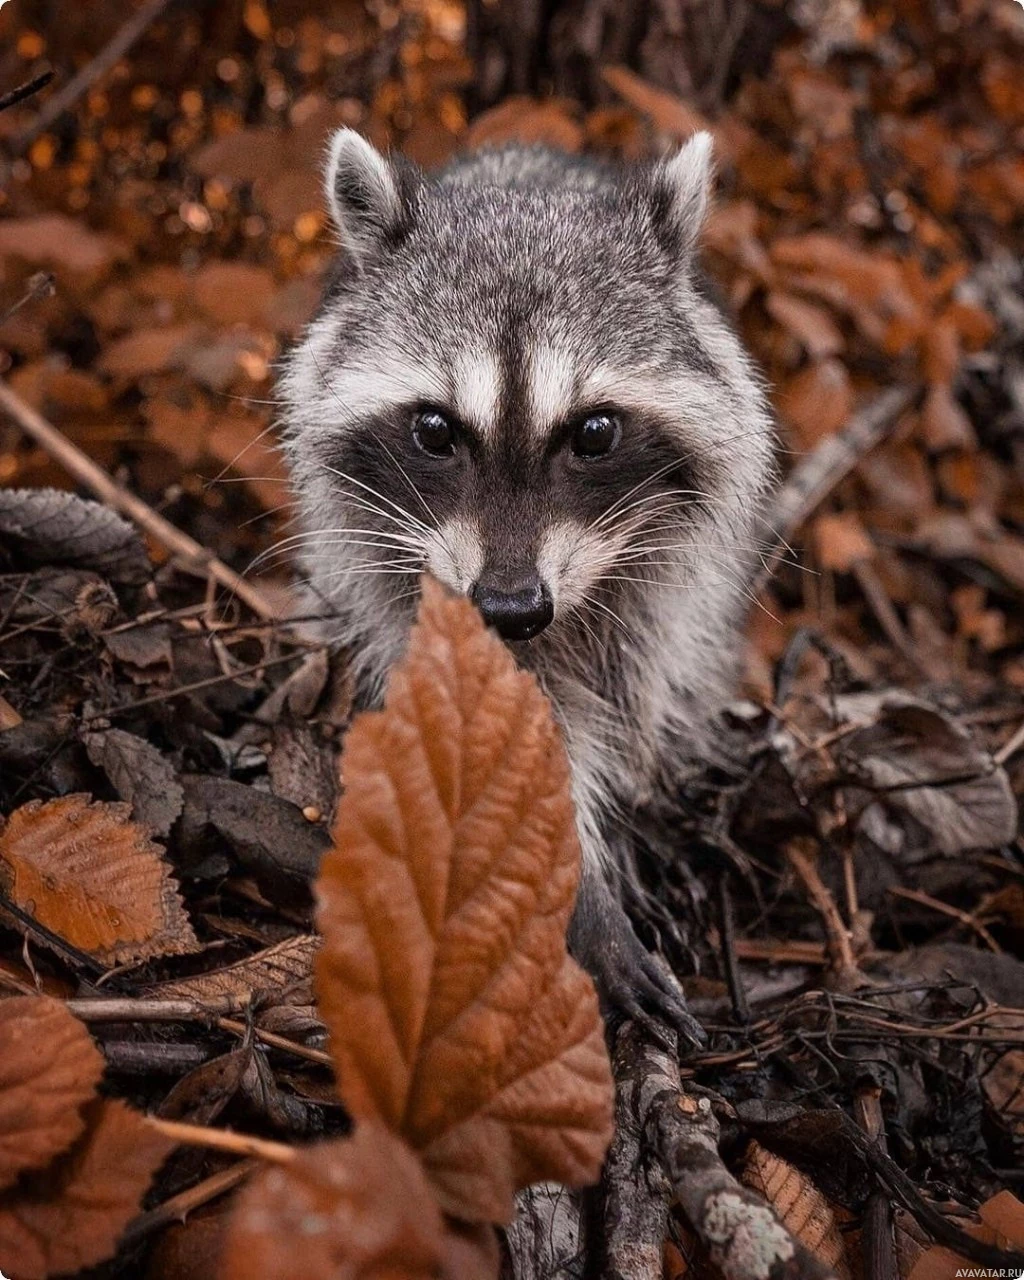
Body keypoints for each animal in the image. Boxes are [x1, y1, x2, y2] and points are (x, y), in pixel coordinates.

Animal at [280, 127, 778, 1039]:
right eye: (434, 429)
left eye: (596, 432)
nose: (511, 609)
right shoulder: (400, 583)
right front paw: (584, 895)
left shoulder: (654, 580)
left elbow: (627, 685)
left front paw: (626, 819)